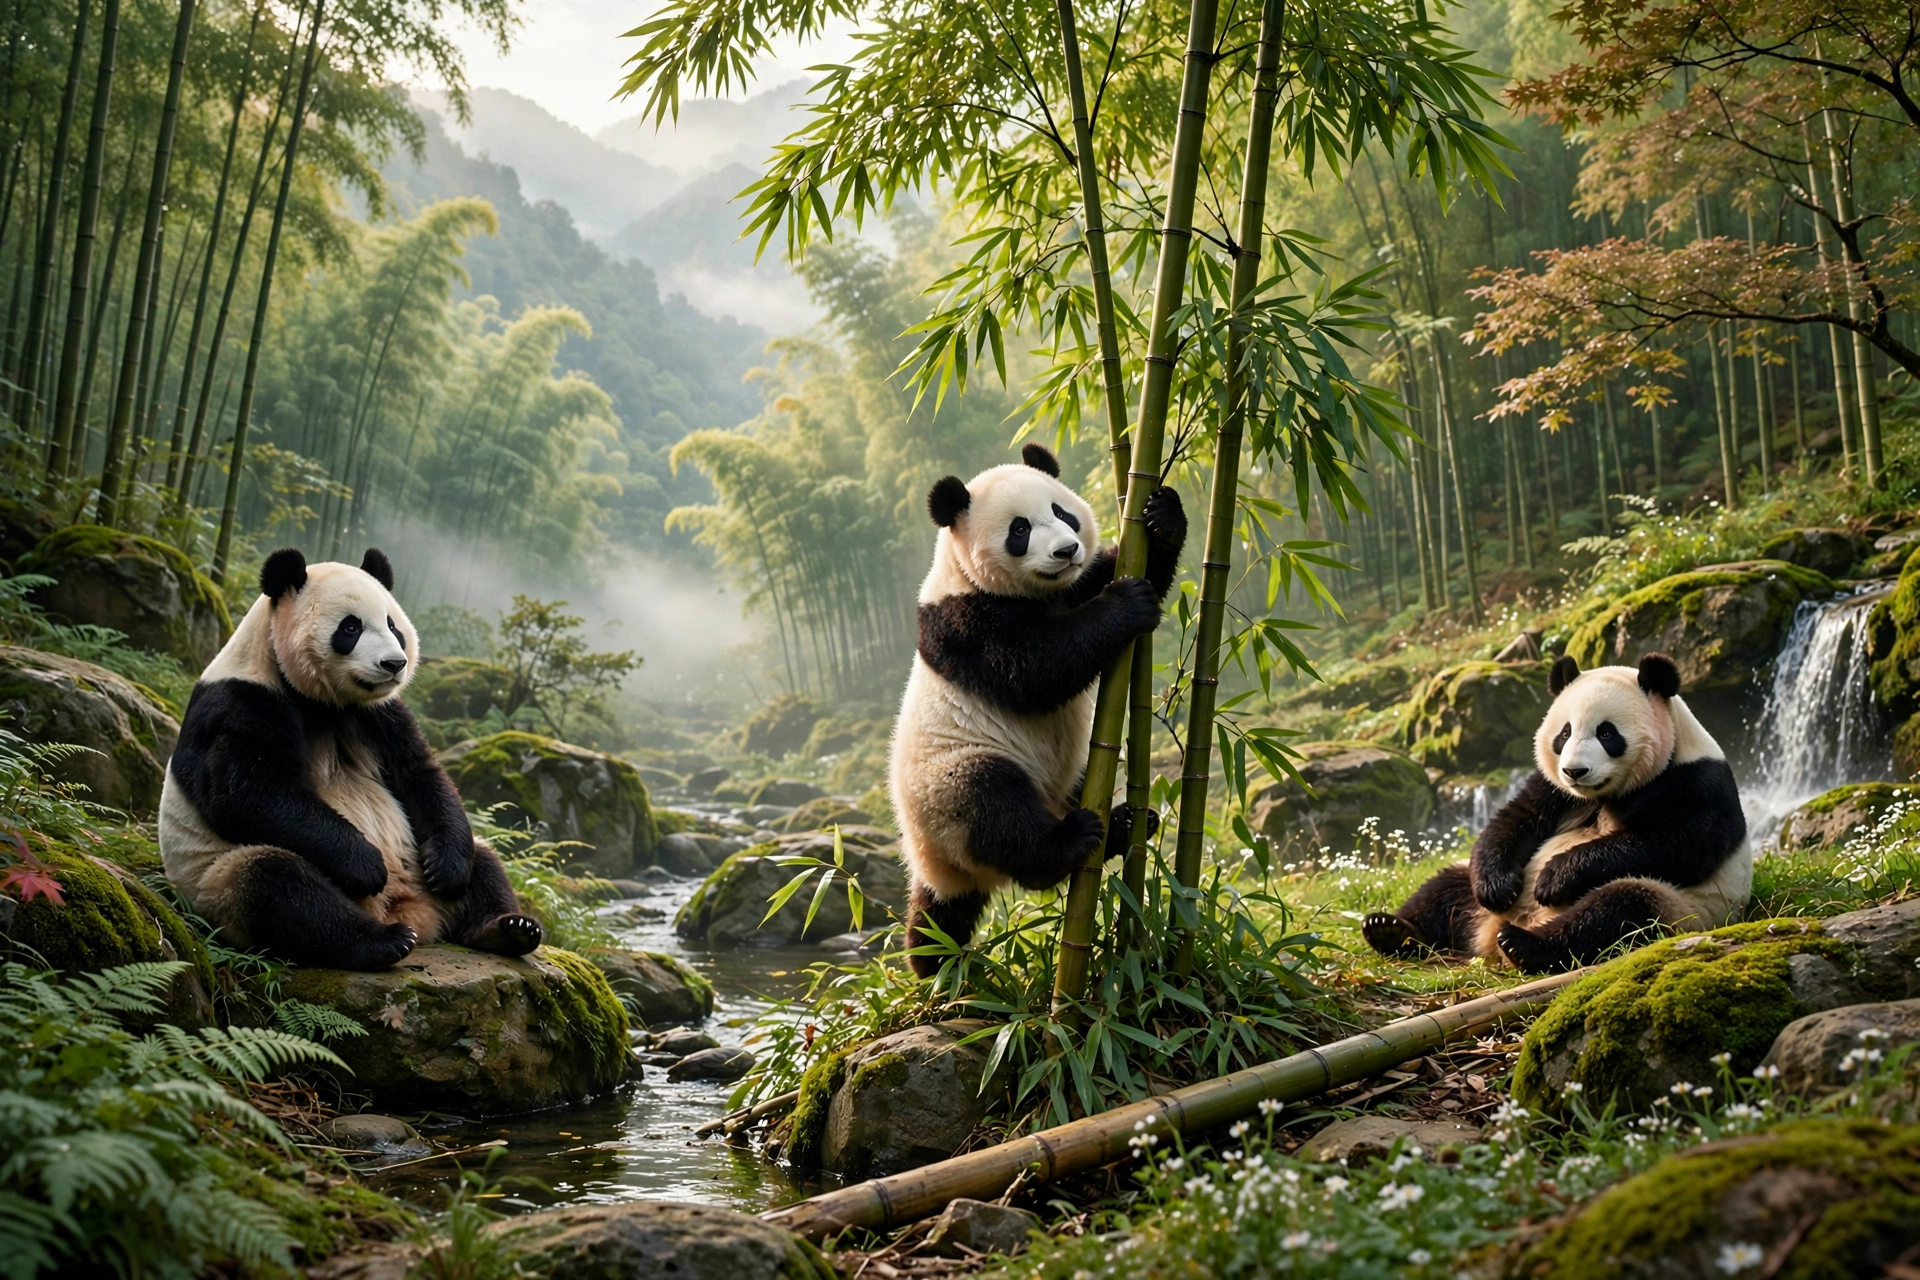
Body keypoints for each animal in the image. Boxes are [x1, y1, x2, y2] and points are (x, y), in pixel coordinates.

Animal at [160, 548, 542, 971]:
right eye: (351, 628)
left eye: (392, 625)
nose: (394, 664)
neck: (323, 701)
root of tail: (408, 911)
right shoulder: (240, 703)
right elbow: (249, 794)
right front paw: (366, 866)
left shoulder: (379, 712)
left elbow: (420, 773)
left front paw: (447, 868)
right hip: (216, 881)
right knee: (281, 888)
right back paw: (383, 941)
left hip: (419, 861)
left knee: (484, 860)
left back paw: (509, 929)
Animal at [890, 442, 1186, 977]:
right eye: (1020, 530)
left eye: (1062, 512)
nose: (1066, 551)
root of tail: (936, 864)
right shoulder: (963, 623)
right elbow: (1033, 672)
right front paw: (1126, 603)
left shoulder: (1072, 584)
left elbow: (1122, 566)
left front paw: (1163, 516)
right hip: (948, 786)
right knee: (998, 810)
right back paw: (1071, 840)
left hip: (1066, 778)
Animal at [1362, 652, 1750, 973]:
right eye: (1565, 733)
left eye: (1607, 733)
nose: (1575, 771)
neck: (1607, 793)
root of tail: (1492, 934)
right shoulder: (1555, 789)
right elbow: (1516, 818)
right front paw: (1497, 886)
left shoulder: (1697, 783)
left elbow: (1676, 844)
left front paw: (1555, 878)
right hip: (1470, 894)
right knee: (1444, 888)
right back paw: (1389, 929)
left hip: (1680, 909)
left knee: (1615, 912)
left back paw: (1524, 944)